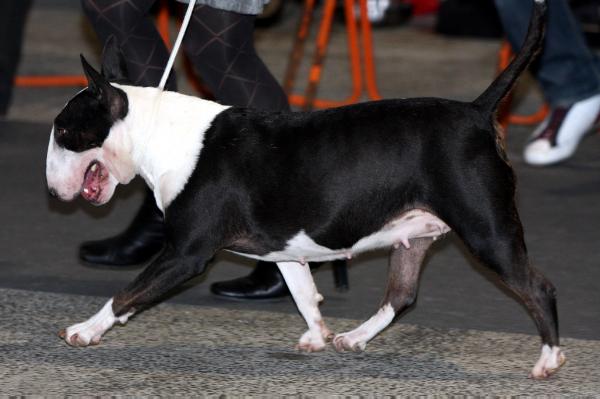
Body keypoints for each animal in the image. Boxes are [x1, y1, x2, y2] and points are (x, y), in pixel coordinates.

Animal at [45, 0, 564, 382]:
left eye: (65, 131)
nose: (50, 191)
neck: (155, 133)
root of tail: (478, 111)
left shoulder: (186, 254)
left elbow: (128, 293)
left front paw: (84, 331)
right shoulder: (285, 246)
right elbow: (301, 291)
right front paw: (317, 335)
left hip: (486, 229)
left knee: (538, 286)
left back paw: (548, 360)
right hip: (413, 234)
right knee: (402, 294)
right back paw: (354, 338)